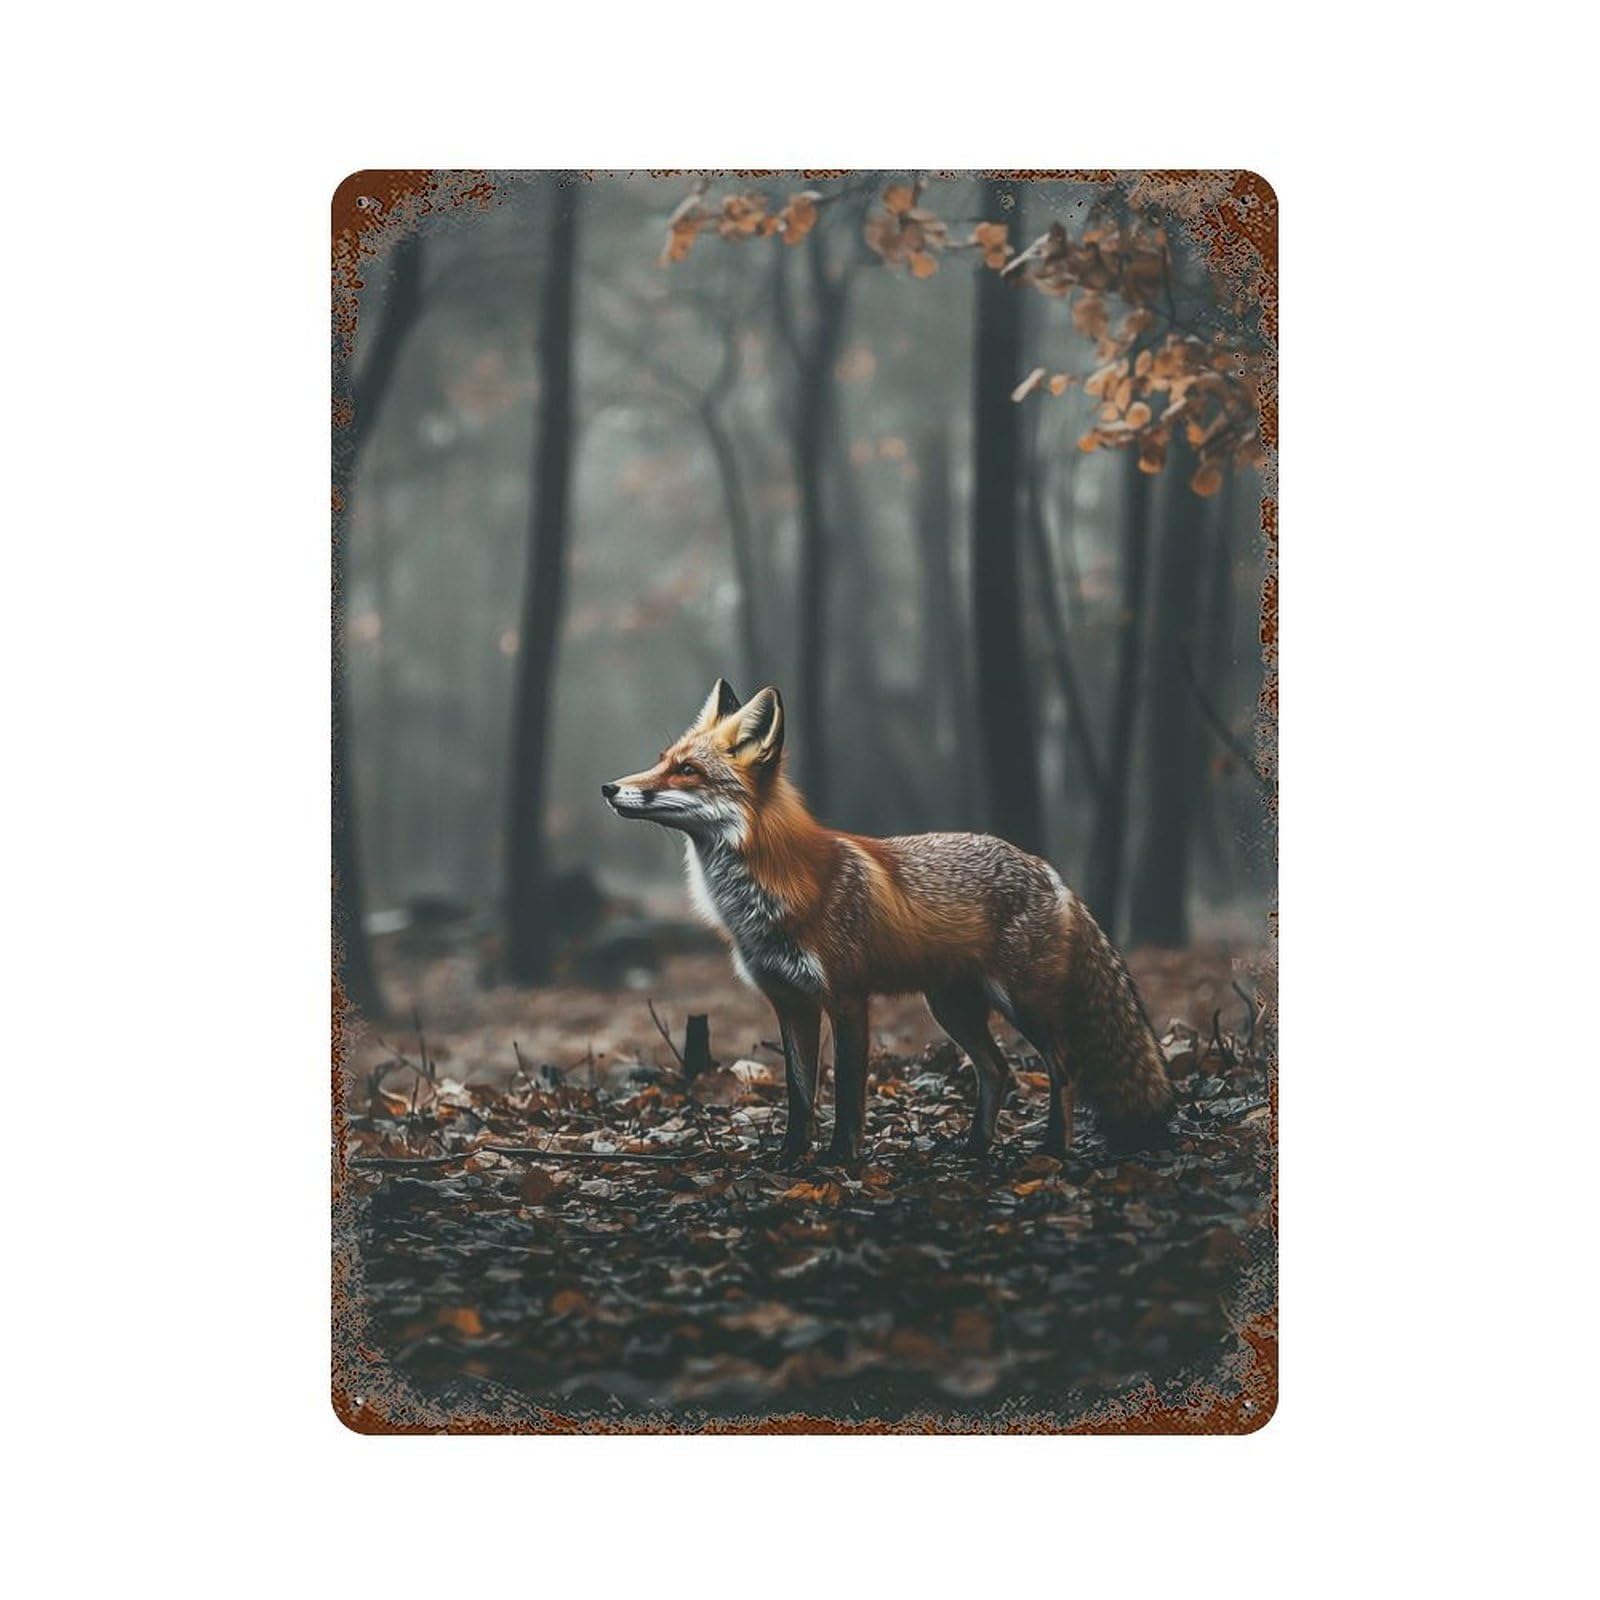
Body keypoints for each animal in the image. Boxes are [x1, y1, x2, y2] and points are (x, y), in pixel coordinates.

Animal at [602, 679, 1173, 1168]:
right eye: (662, 762)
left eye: (687, 771)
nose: (610, 787)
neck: (766, 895)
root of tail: (1049, 870)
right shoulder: (790, 1002)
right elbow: (800, 1095)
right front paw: (791, 1158)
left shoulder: (847, 997)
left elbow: (848, 1092)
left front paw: (840, 1158)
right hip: (951, 1008)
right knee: (999, 1069)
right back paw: (976, 1147)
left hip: (1023, 1003)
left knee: (1063, 1065)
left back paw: (1054, 1148)